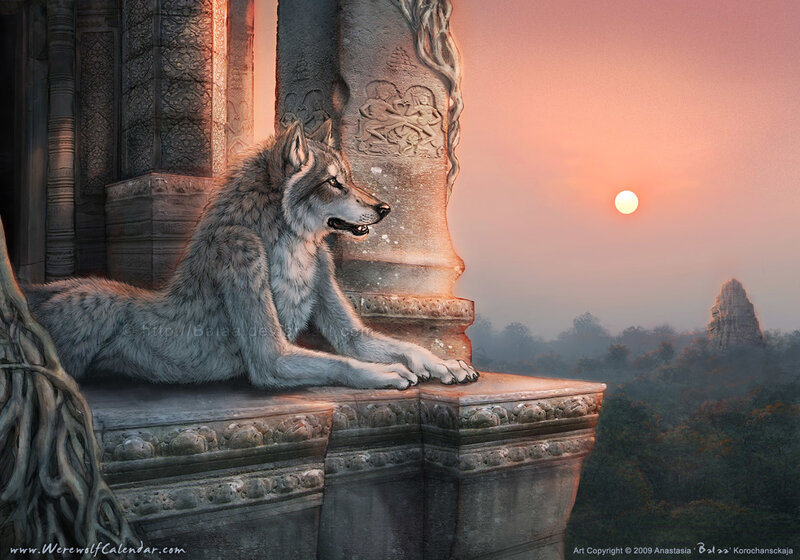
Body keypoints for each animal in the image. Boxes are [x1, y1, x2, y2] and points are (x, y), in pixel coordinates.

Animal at [23, 121, 478, 390]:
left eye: (350, 179)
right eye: (335, 183)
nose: (385, 208)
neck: (291, 248)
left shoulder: (348, 326)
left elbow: (404, 345)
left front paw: (445, 365)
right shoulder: (270, 354)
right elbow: (338, 363)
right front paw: (385, 373)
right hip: (94, 305)